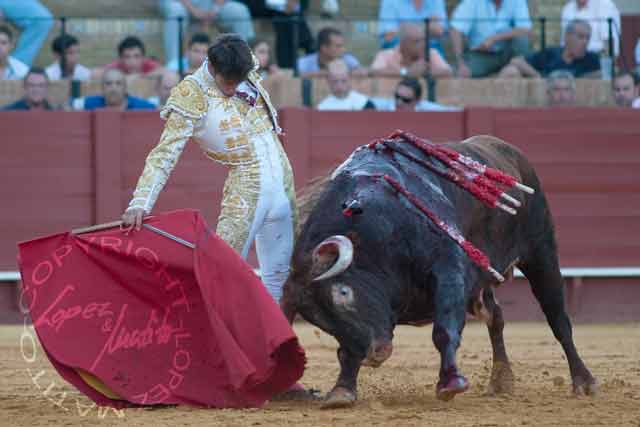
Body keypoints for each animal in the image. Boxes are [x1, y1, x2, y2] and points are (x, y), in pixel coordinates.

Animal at [282, 135, 596, 410]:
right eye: (321, 322)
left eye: (344, 293)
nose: (376, 354)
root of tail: (507, 149)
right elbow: (346, 350)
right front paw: (342, 391)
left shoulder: (448, 270)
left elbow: (444, 330)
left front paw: (451, 383)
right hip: (481, 285)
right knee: (495, 317)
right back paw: (501, 380)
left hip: (541, 250)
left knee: (558, 318)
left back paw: (583, 381)